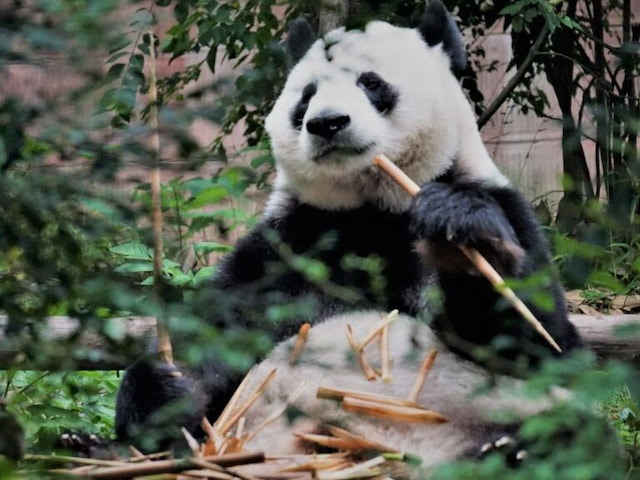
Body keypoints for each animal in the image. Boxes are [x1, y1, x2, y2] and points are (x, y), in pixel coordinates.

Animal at [114, 0, 584, 469]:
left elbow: (543, 346)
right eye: (306, 96)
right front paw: (166, 389)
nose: (327, 123)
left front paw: (463, 233)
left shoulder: (504, 208)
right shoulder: (288, 245)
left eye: (371, 83)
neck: (371, 209)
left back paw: (506, 449)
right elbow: (223, 329)